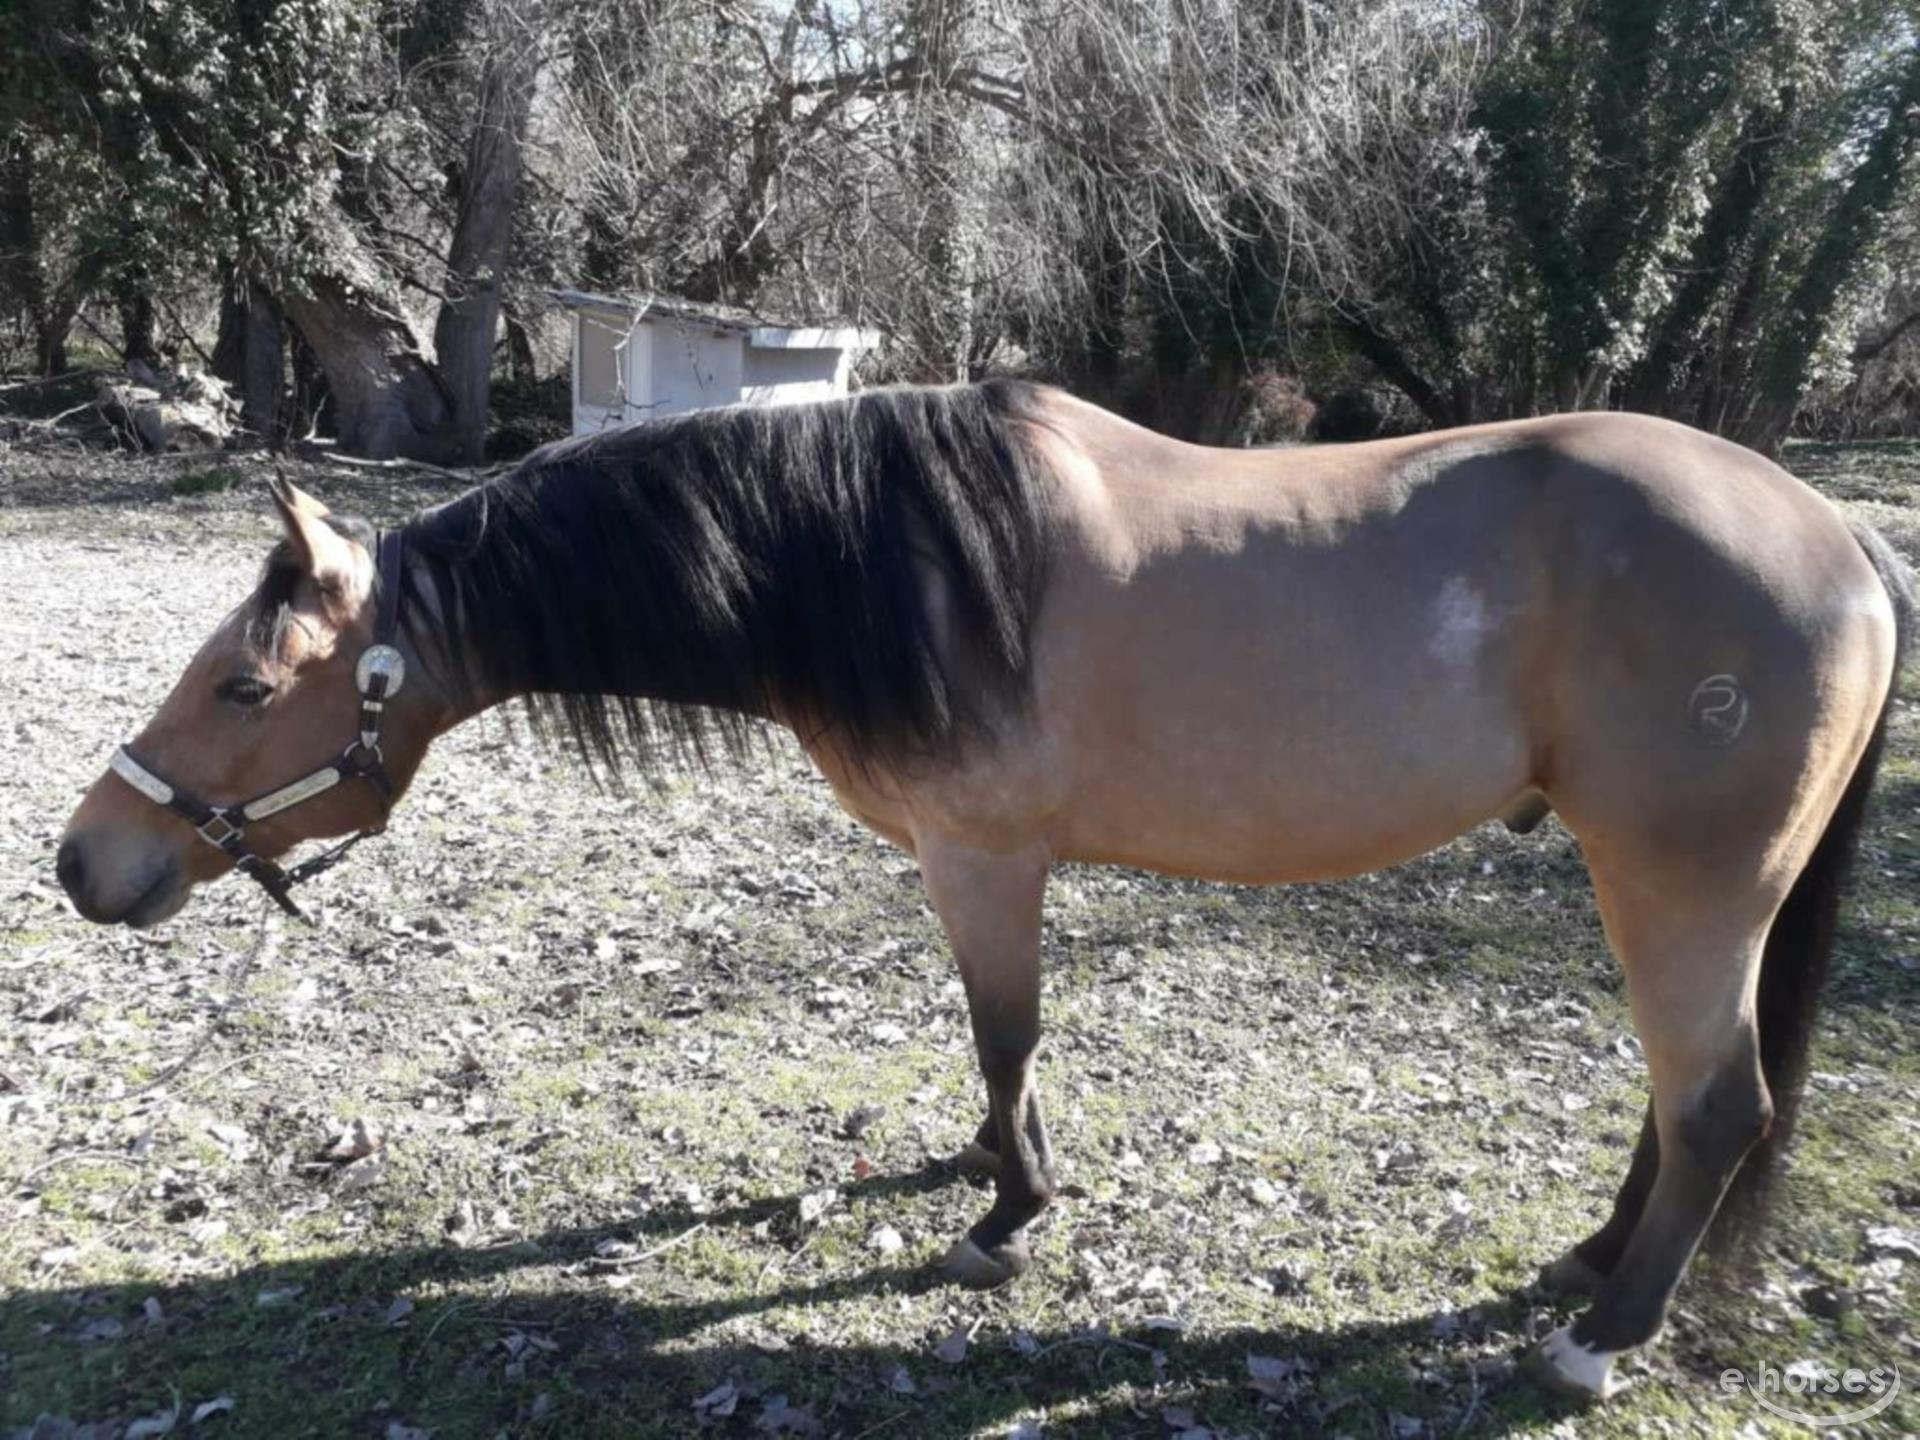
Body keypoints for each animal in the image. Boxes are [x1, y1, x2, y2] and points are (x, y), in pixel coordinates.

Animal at [57, 381, 1911, 1401]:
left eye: (241, 686)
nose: (86, 862)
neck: (894, 558)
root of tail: (1838, 536)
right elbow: (1002, 1058)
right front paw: (986, 1172)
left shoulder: (985, 862)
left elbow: (1003, 1036)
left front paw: (1005, 1216)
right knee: (1680, 1107)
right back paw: (1586, 1270)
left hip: (1680, 889)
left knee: (1718, 1104)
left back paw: (1603, 1335)